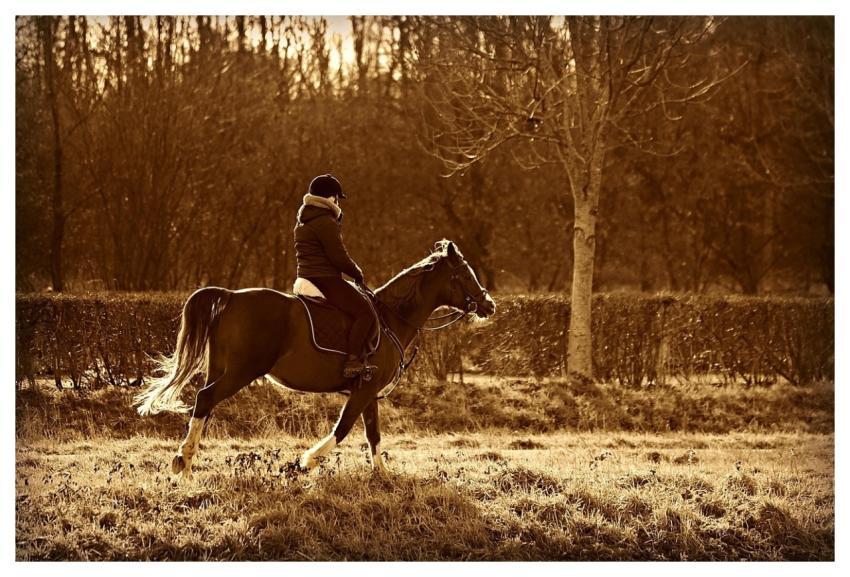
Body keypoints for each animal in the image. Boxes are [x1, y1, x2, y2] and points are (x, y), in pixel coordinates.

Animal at [134, 240, 496, 479]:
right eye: (465, 273)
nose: (489, 305)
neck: (391, 318)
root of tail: (232, 296)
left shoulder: (369, 392)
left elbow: (373, 434)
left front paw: (382, 475)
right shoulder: (363, 391)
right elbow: (344, 428)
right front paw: (305, 462)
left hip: (221, 368)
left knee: (205, 406)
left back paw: (186, 458)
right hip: (241, 372)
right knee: (205, 398)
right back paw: (184, 461)